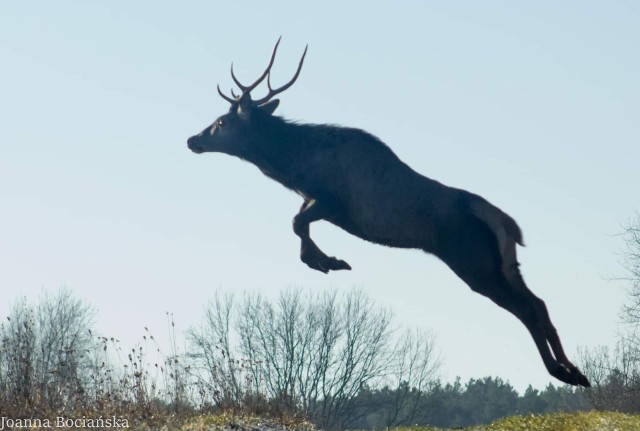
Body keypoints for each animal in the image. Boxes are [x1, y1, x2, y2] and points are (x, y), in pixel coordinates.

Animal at [188, 38, 592, 388]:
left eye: (222, 122)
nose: (193, 139)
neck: (295, 166)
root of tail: (505, 223)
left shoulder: (333, 202)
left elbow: (296, 223)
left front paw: (328, 262)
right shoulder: (314, 201)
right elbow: (298, 223)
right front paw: (325, 260)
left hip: (474, 262)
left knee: (525, 308)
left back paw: (562, 372)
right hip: (507, 264)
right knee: (538, 302)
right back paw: (575, 370)